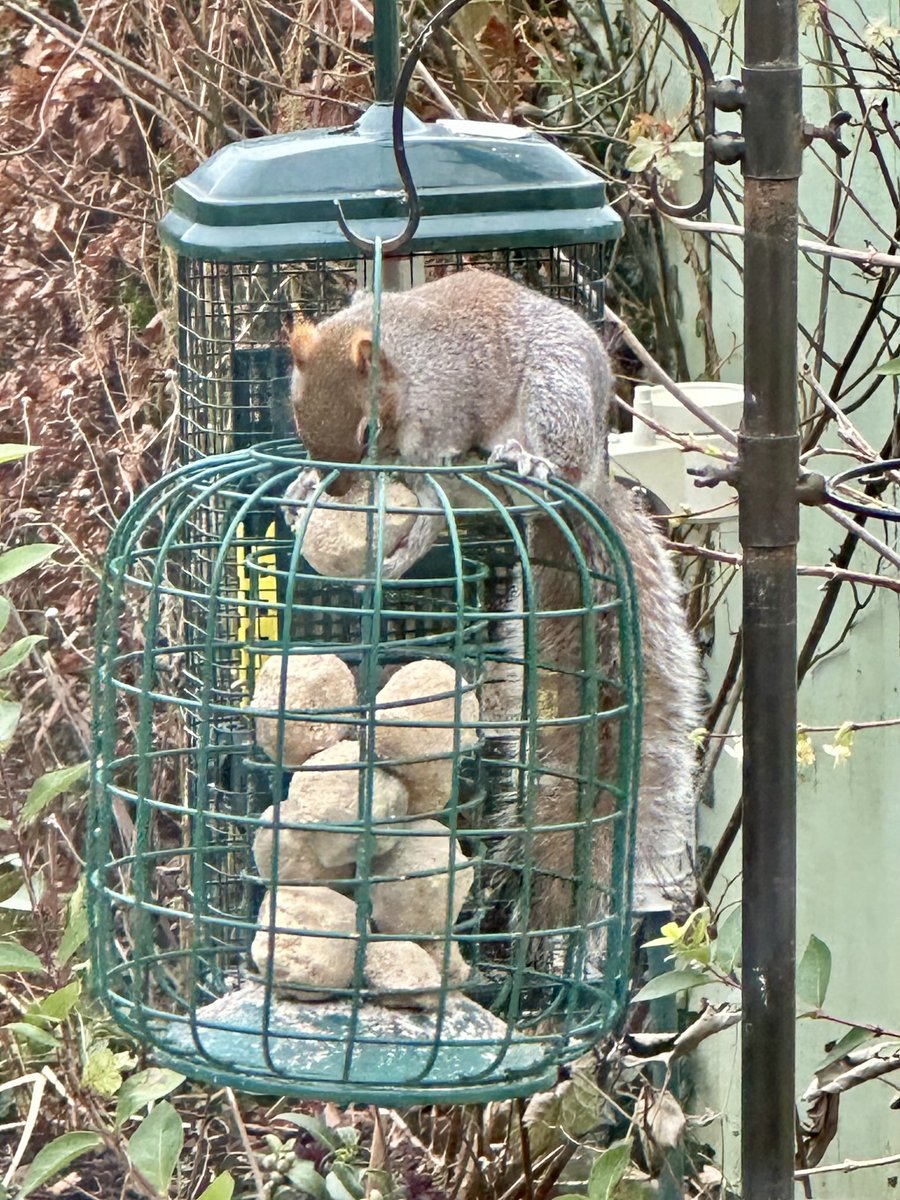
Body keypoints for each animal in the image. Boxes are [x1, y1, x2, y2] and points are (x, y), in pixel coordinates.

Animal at [286, 269, 702, 940]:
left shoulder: (444, 415)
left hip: (554, 392)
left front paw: (408, 530)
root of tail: (596, 478)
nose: (340, 487)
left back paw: (529, 461)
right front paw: (303, 486)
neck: (402, 360)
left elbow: (428, 490)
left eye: (365, 433)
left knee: (545, 462)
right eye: (299, 423)